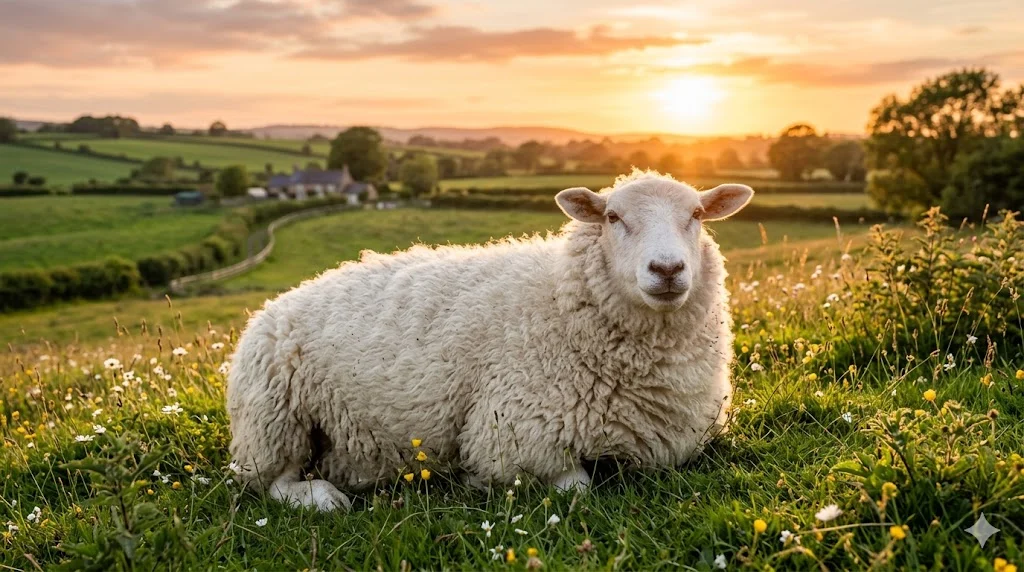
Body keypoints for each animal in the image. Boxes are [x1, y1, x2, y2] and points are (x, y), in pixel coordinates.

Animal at [226, 170, 754, 511]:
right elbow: (576, 490)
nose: (667, 269)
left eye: (698, 214)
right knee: (269, 483)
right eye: (612, 217)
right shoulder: (513, 430)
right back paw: (323, 499)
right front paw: (477, 483)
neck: (559, 302)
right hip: (274, 417)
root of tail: (272, 306)